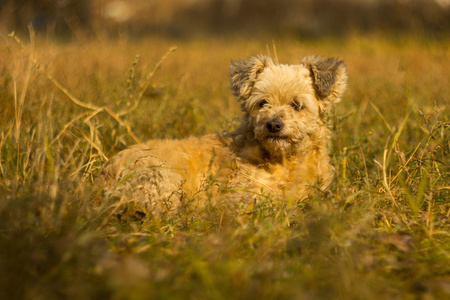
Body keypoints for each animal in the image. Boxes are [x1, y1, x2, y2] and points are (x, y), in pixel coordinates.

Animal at [96, 54, 346, 216]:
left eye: (296, 104)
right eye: (262, 103)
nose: (273, 124)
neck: (287, 161)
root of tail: (106, 172)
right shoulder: (238, 197)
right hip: (162, 180)